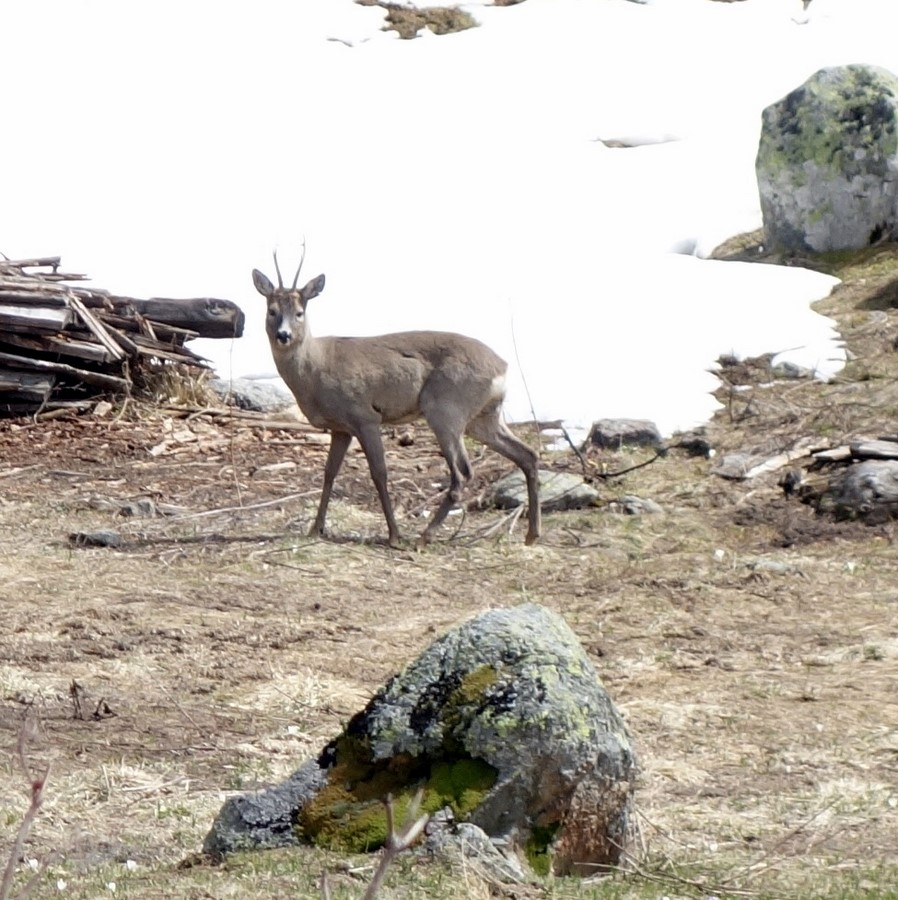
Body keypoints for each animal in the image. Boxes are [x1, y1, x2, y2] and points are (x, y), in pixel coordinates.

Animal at [252, 251, 540, 548]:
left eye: (300, 313)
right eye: (271, 310)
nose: (283, 335)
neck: (314, 368)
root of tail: (502, 367)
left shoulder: (364, 415)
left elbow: (379, 473)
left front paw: (393, 534)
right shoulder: (341, 427)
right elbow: (329, 472)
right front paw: (315, 529)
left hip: (445, 407)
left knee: (462, 473)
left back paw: (425, 536)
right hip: (483, 416)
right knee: (527, 454)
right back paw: (531, 534)